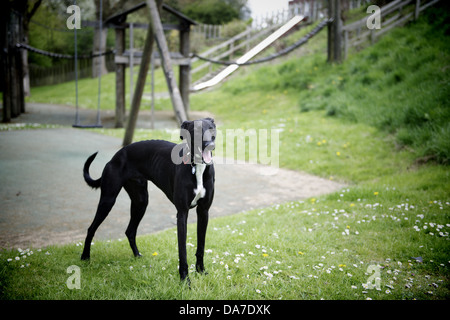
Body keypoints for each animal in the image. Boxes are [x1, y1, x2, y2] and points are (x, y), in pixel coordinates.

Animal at [81, 118, 216, 282]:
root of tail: (115, 156)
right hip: (108, 200)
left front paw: (201, 271)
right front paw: (185, 279)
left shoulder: (203, 211)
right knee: (91, 228)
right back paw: (85, 257)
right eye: (195, 129)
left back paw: (137, 255)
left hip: (140, 201)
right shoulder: (182, 213)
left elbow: (201, 246)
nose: (210, 144)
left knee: (130, 231)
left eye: (211, 128)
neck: (197, 167)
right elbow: (182, 251)